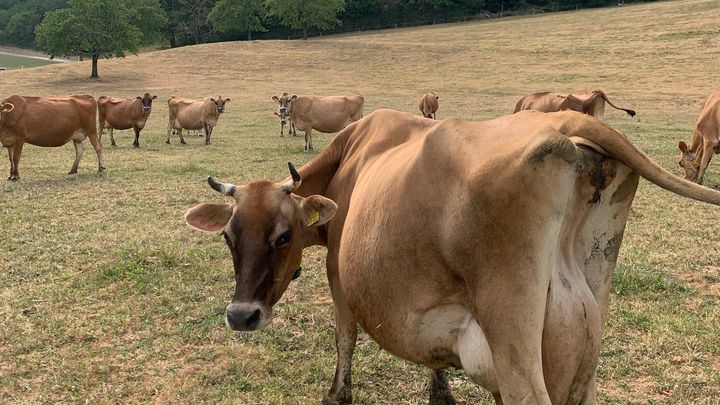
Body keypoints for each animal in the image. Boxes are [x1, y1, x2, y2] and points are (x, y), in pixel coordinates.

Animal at [184, 109, 720, 404]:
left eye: (281, 236)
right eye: (229, 236)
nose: (241, 315)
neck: (349, 164)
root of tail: (560, 122)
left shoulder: (340, 278)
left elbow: (344, 339)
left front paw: (337, 394)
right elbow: (434, 358)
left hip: (513, 334)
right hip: (588, 319)